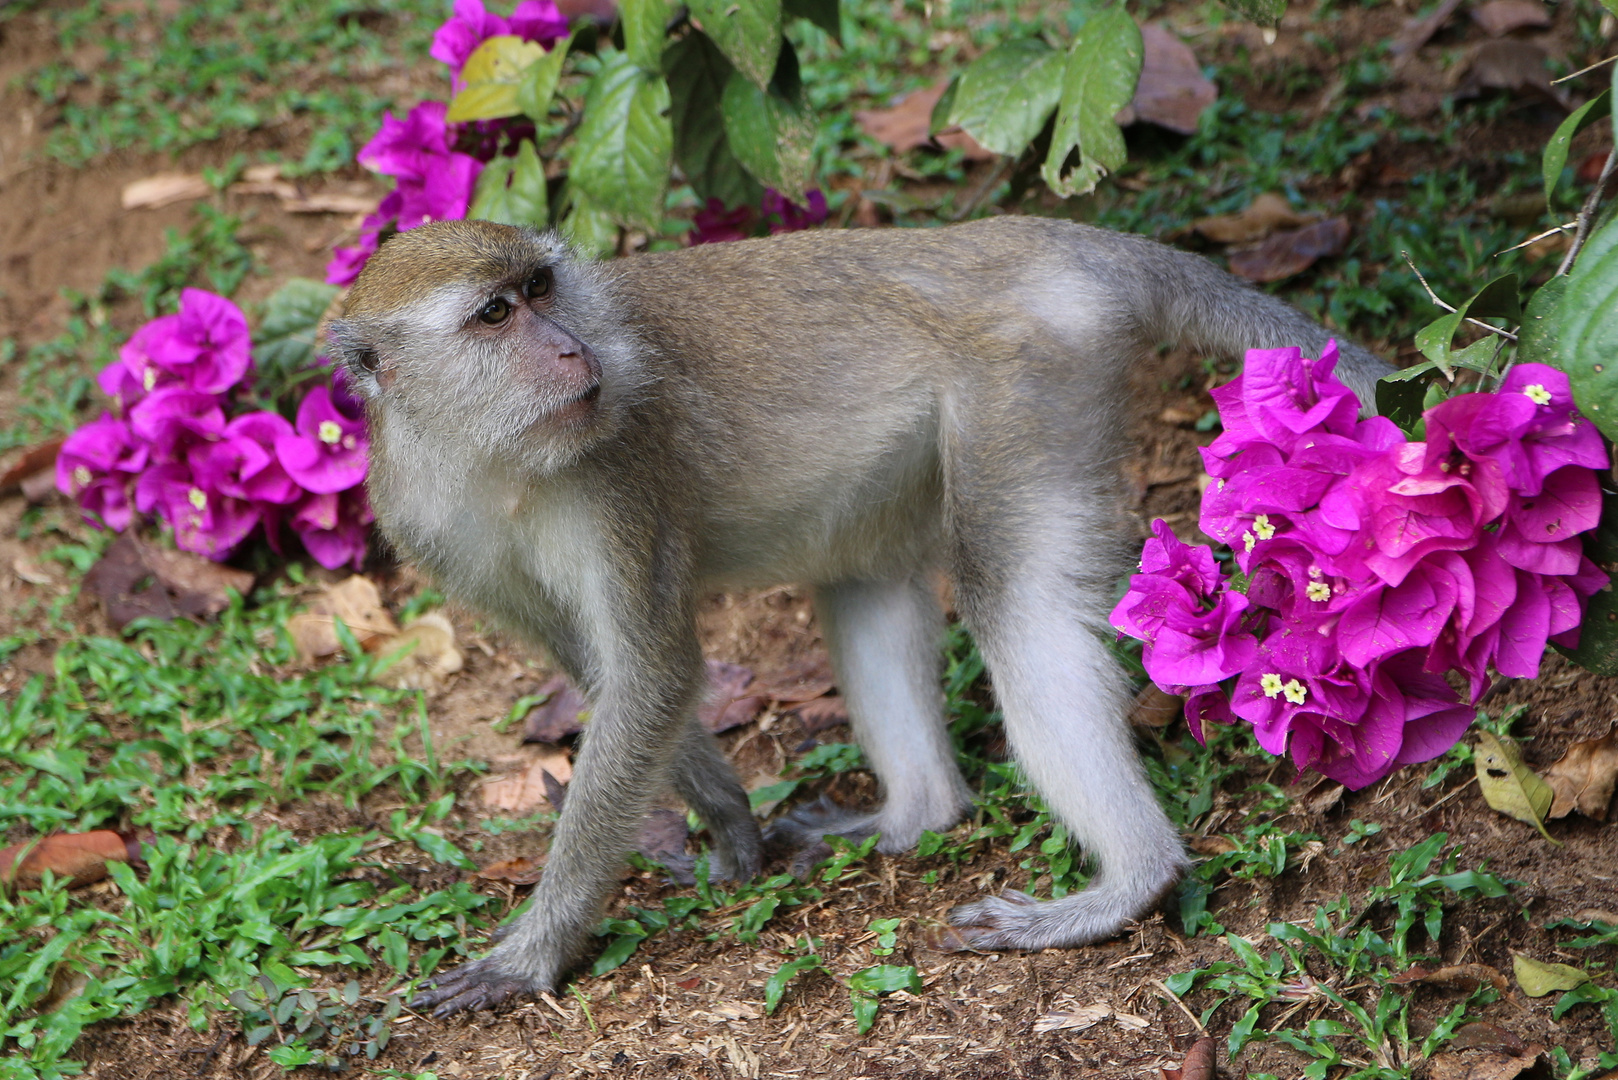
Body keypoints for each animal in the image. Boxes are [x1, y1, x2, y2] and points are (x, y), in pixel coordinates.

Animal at [328, 216, 1391, 1016]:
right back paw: (919, 814)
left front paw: (534, 954)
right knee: (864, 580)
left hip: (1026, 377)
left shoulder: (616, 479)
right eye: (494, 313)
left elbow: (652, 673)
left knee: (1013, 601)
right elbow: (610, 676)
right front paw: (729, 827)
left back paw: (1133, 880)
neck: (493, 459)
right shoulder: (431, 525)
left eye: (544, 290)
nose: (569, 349)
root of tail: (1020, 238)